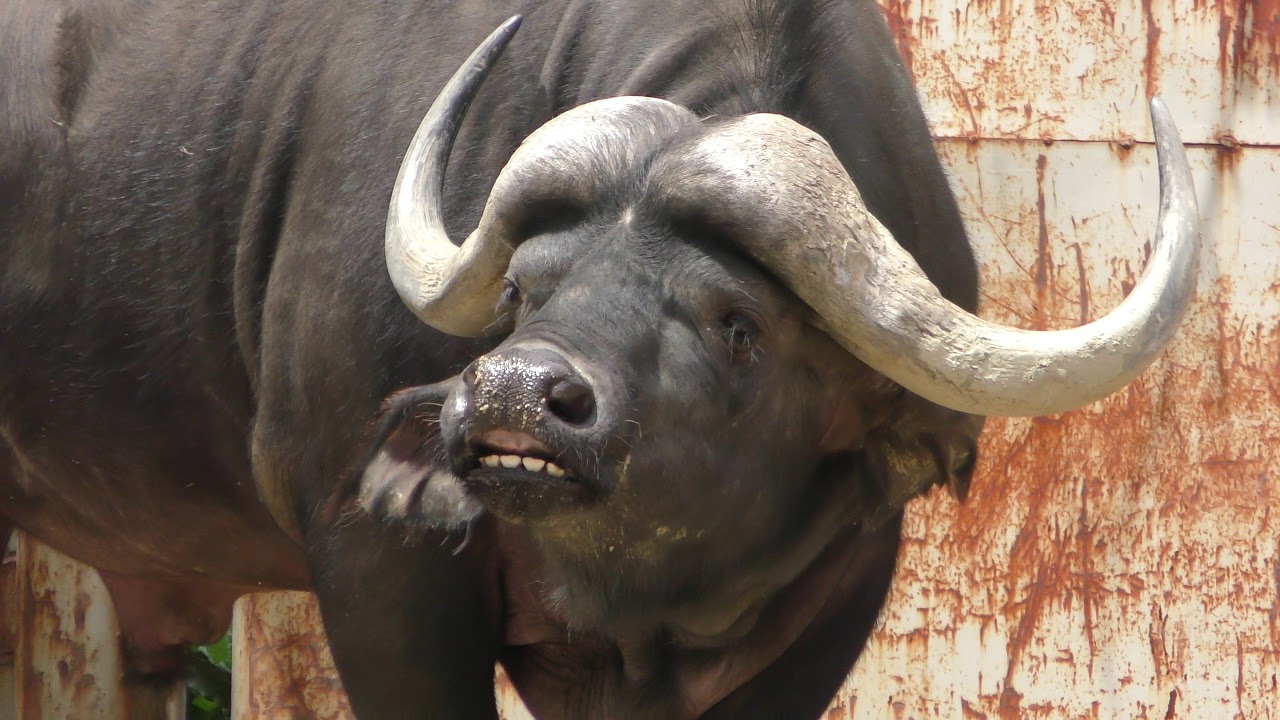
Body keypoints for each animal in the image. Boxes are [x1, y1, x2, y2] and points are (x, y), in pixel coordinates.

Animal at [0, 0, 1198, 712]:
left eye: (736, 324)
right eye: (523, 289)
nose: (513, 397)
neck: (645, 596)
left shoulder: (835, 600)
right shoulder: (377, 563)